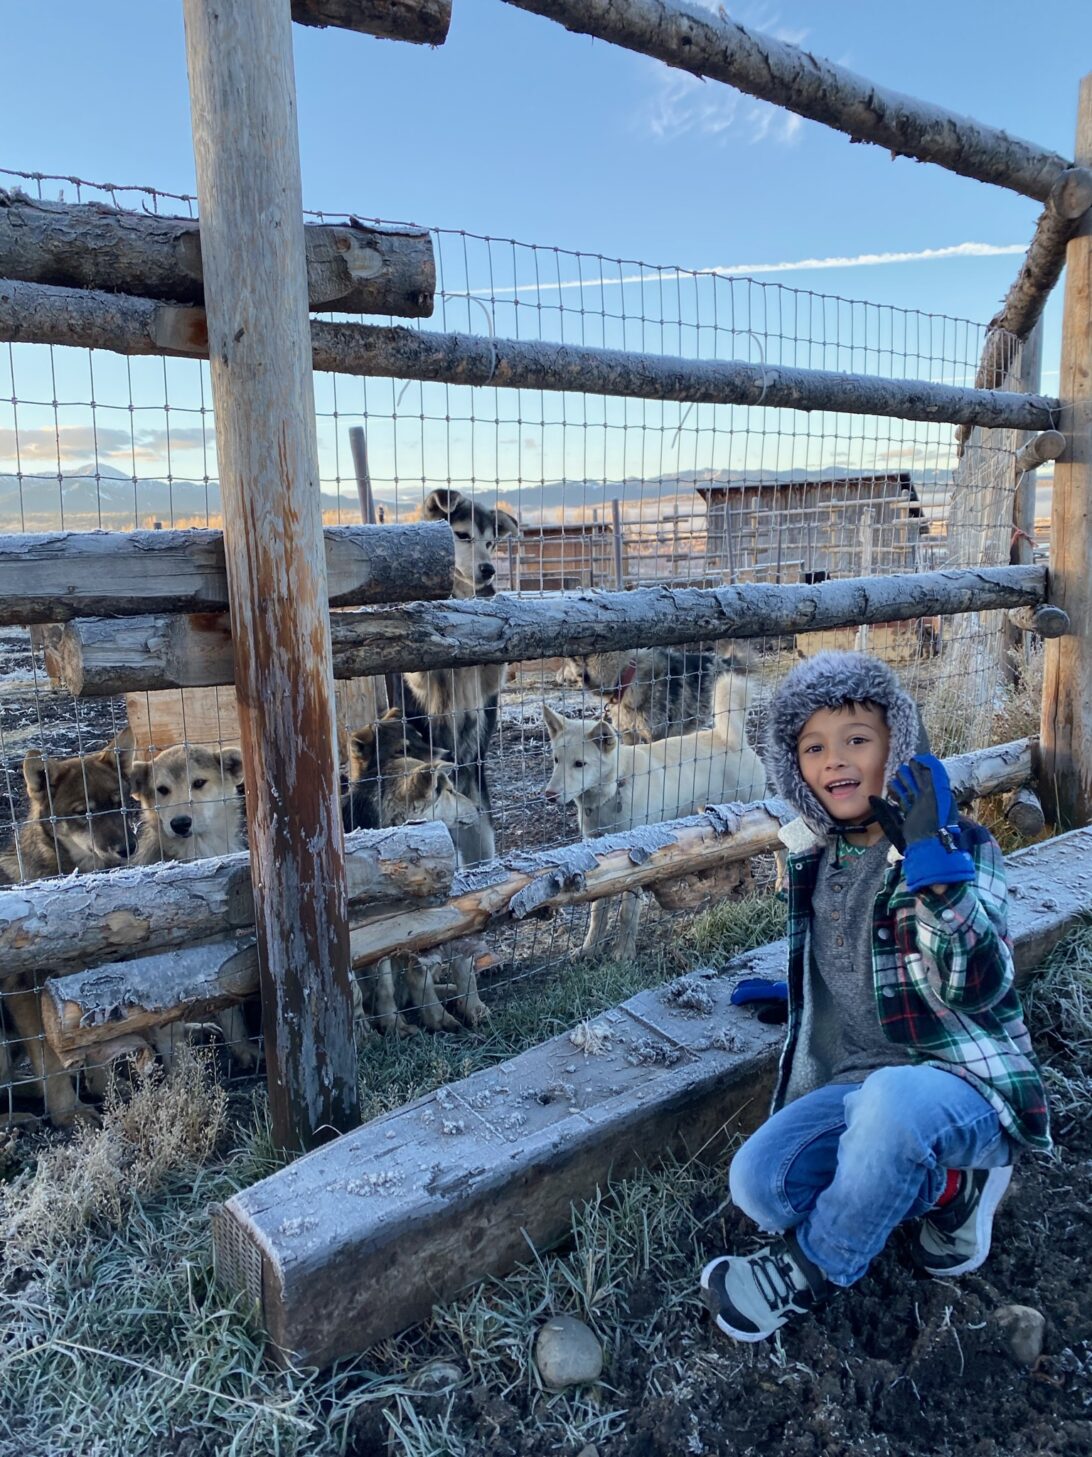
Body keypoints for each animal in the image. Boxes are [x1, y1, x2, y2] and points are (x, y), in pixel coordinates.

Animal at [396, 489, 519, 856]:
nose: (489, 570)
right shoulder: (421, 684)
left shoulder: (488, 684)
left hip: (482, 831)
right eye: (463, 535)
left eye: (491, 542)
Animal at [542, 673, 763, 967]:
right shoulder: (597, 862)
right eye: (556, 760)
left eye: (580, 764)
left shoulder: (636, 861)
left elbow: (627, 912)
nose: (549, 795)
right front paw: (590, 949)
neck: (615, 788)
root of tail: (731, 738)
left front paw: (623, 954)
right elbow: (598, 911)